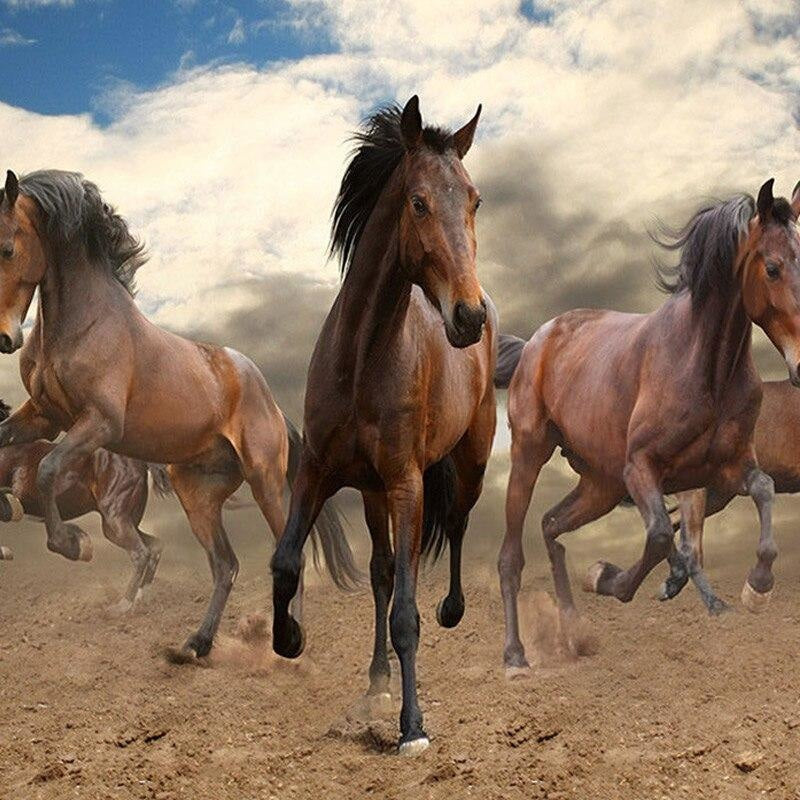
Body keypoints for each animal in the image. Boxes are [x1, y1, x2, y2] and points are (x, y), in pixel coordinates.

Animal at [0, 399, 170, 609]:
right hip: (120, 523)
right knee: (154, 546)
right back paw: (140, 597)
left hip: (115, 519)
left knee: (140, 553)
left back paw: (123, 605)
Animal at [270, 96, 495, 754]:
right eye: (418, 202)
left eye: (474, 200)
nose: (469, 317)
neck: (362, 359)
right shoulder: (317, 471)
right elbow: (287, 562)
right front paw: (288, 640)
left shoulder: (406, 484)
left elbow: (406, 615)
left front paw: (413, 728)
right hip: (370, 493)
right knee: (379, 572)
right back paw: (376, 681)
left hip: (467, 464)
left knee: (455, 525)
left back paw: (450, 611)